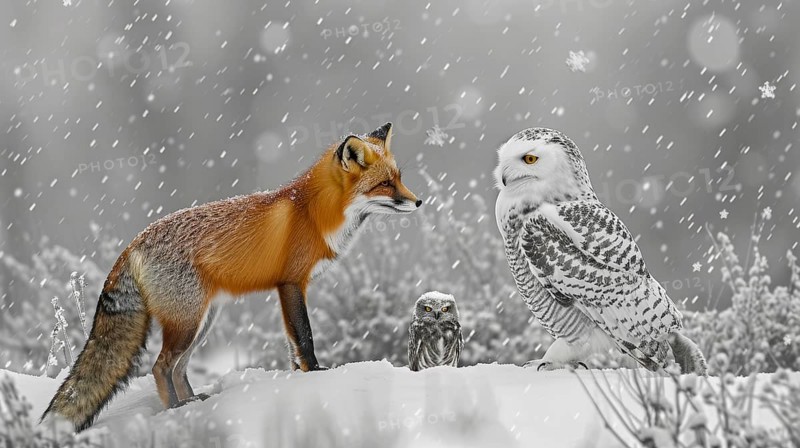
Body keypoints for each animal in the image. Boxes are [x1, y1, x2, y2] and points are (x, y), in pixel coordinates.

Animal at [42, 122, 421, 431]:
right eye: (384, 184)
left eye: (400, 178)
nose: (418, 202)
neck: (314, 214)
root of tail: (134, 242)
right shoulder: (292, 284)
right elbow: (305, 336)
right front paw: (316, 374)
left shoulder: (285, 290)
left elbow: (291, 344)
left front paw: (298, 378)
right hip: (187, 322)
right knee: (160, 367)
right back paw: (177, 410)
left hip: (203, 321)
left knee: (177, 368)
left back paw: (193, 401)